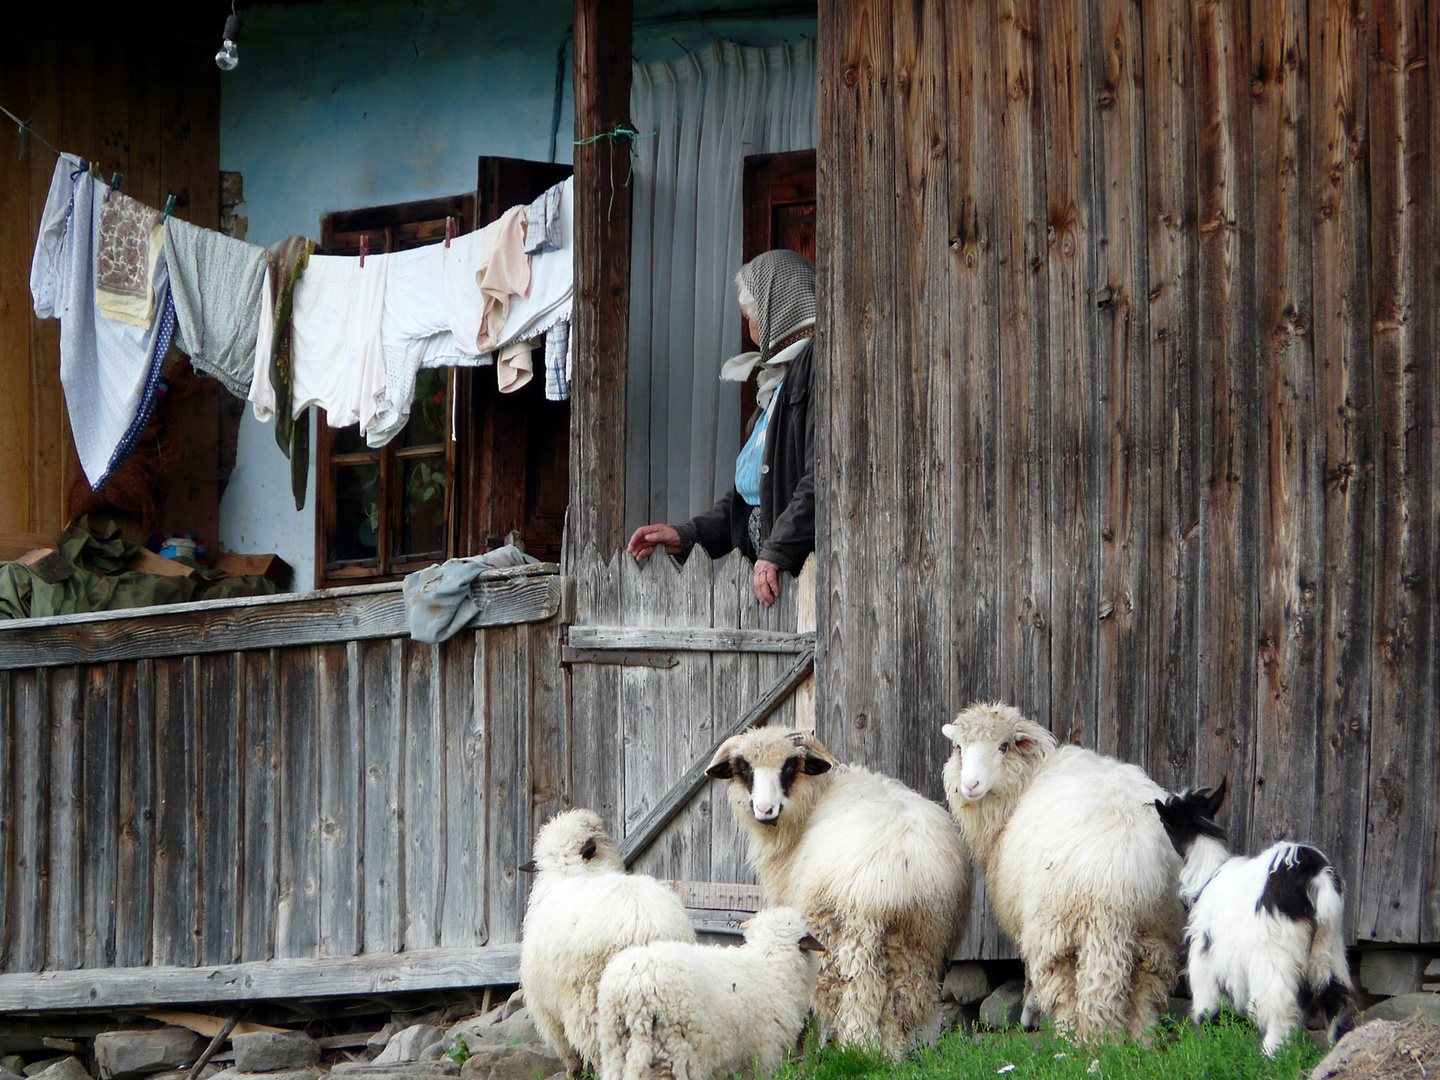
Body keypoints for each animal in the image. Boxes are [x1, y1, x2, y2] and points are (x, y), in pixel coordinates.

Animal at [521, 806, 699, 1077]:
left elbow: (565, 1047)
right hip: (669, 998)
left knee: (601, 1046)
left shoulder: (545, 1007)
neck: (570, 869)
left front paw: (573, 1071)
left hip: (591, 1000)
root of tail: (644, 929)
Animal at [705, 728, 973, 1059]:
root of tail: (899, 872)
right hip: (921, 935)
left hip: (848, 928)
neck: (814, 797)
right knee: (901, 1000)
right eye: (744, 768)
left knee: (854, 991)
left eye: (789, 767)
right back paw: (891, 1055)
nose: (766, 811)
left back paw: (854, 1048)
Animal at [933, 705, 1180, 1042]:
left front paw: (1029, 1010)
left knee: (1064, 985)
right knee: (1148, 979)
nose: (970, 785)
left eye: (1003, 746)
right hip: (1156, 924)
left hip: (1058, 923)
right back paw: (1142, 1037)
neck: (1028, 779)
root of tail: (1122, 865)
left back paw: (1071, 1038)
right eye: (959, 747)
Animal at [1152, 783, 1353, 1059]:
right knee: (1335, 997)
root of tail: (1314, 874)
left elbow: (1210, 1006)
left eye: (1165, 821)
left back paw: (1271, 1054)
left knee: (1281, 1004)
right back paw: (1338, 1049)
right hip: (1328, 947)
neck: (1208, 874)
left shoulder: (1207, 956)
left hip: (1275, 953)